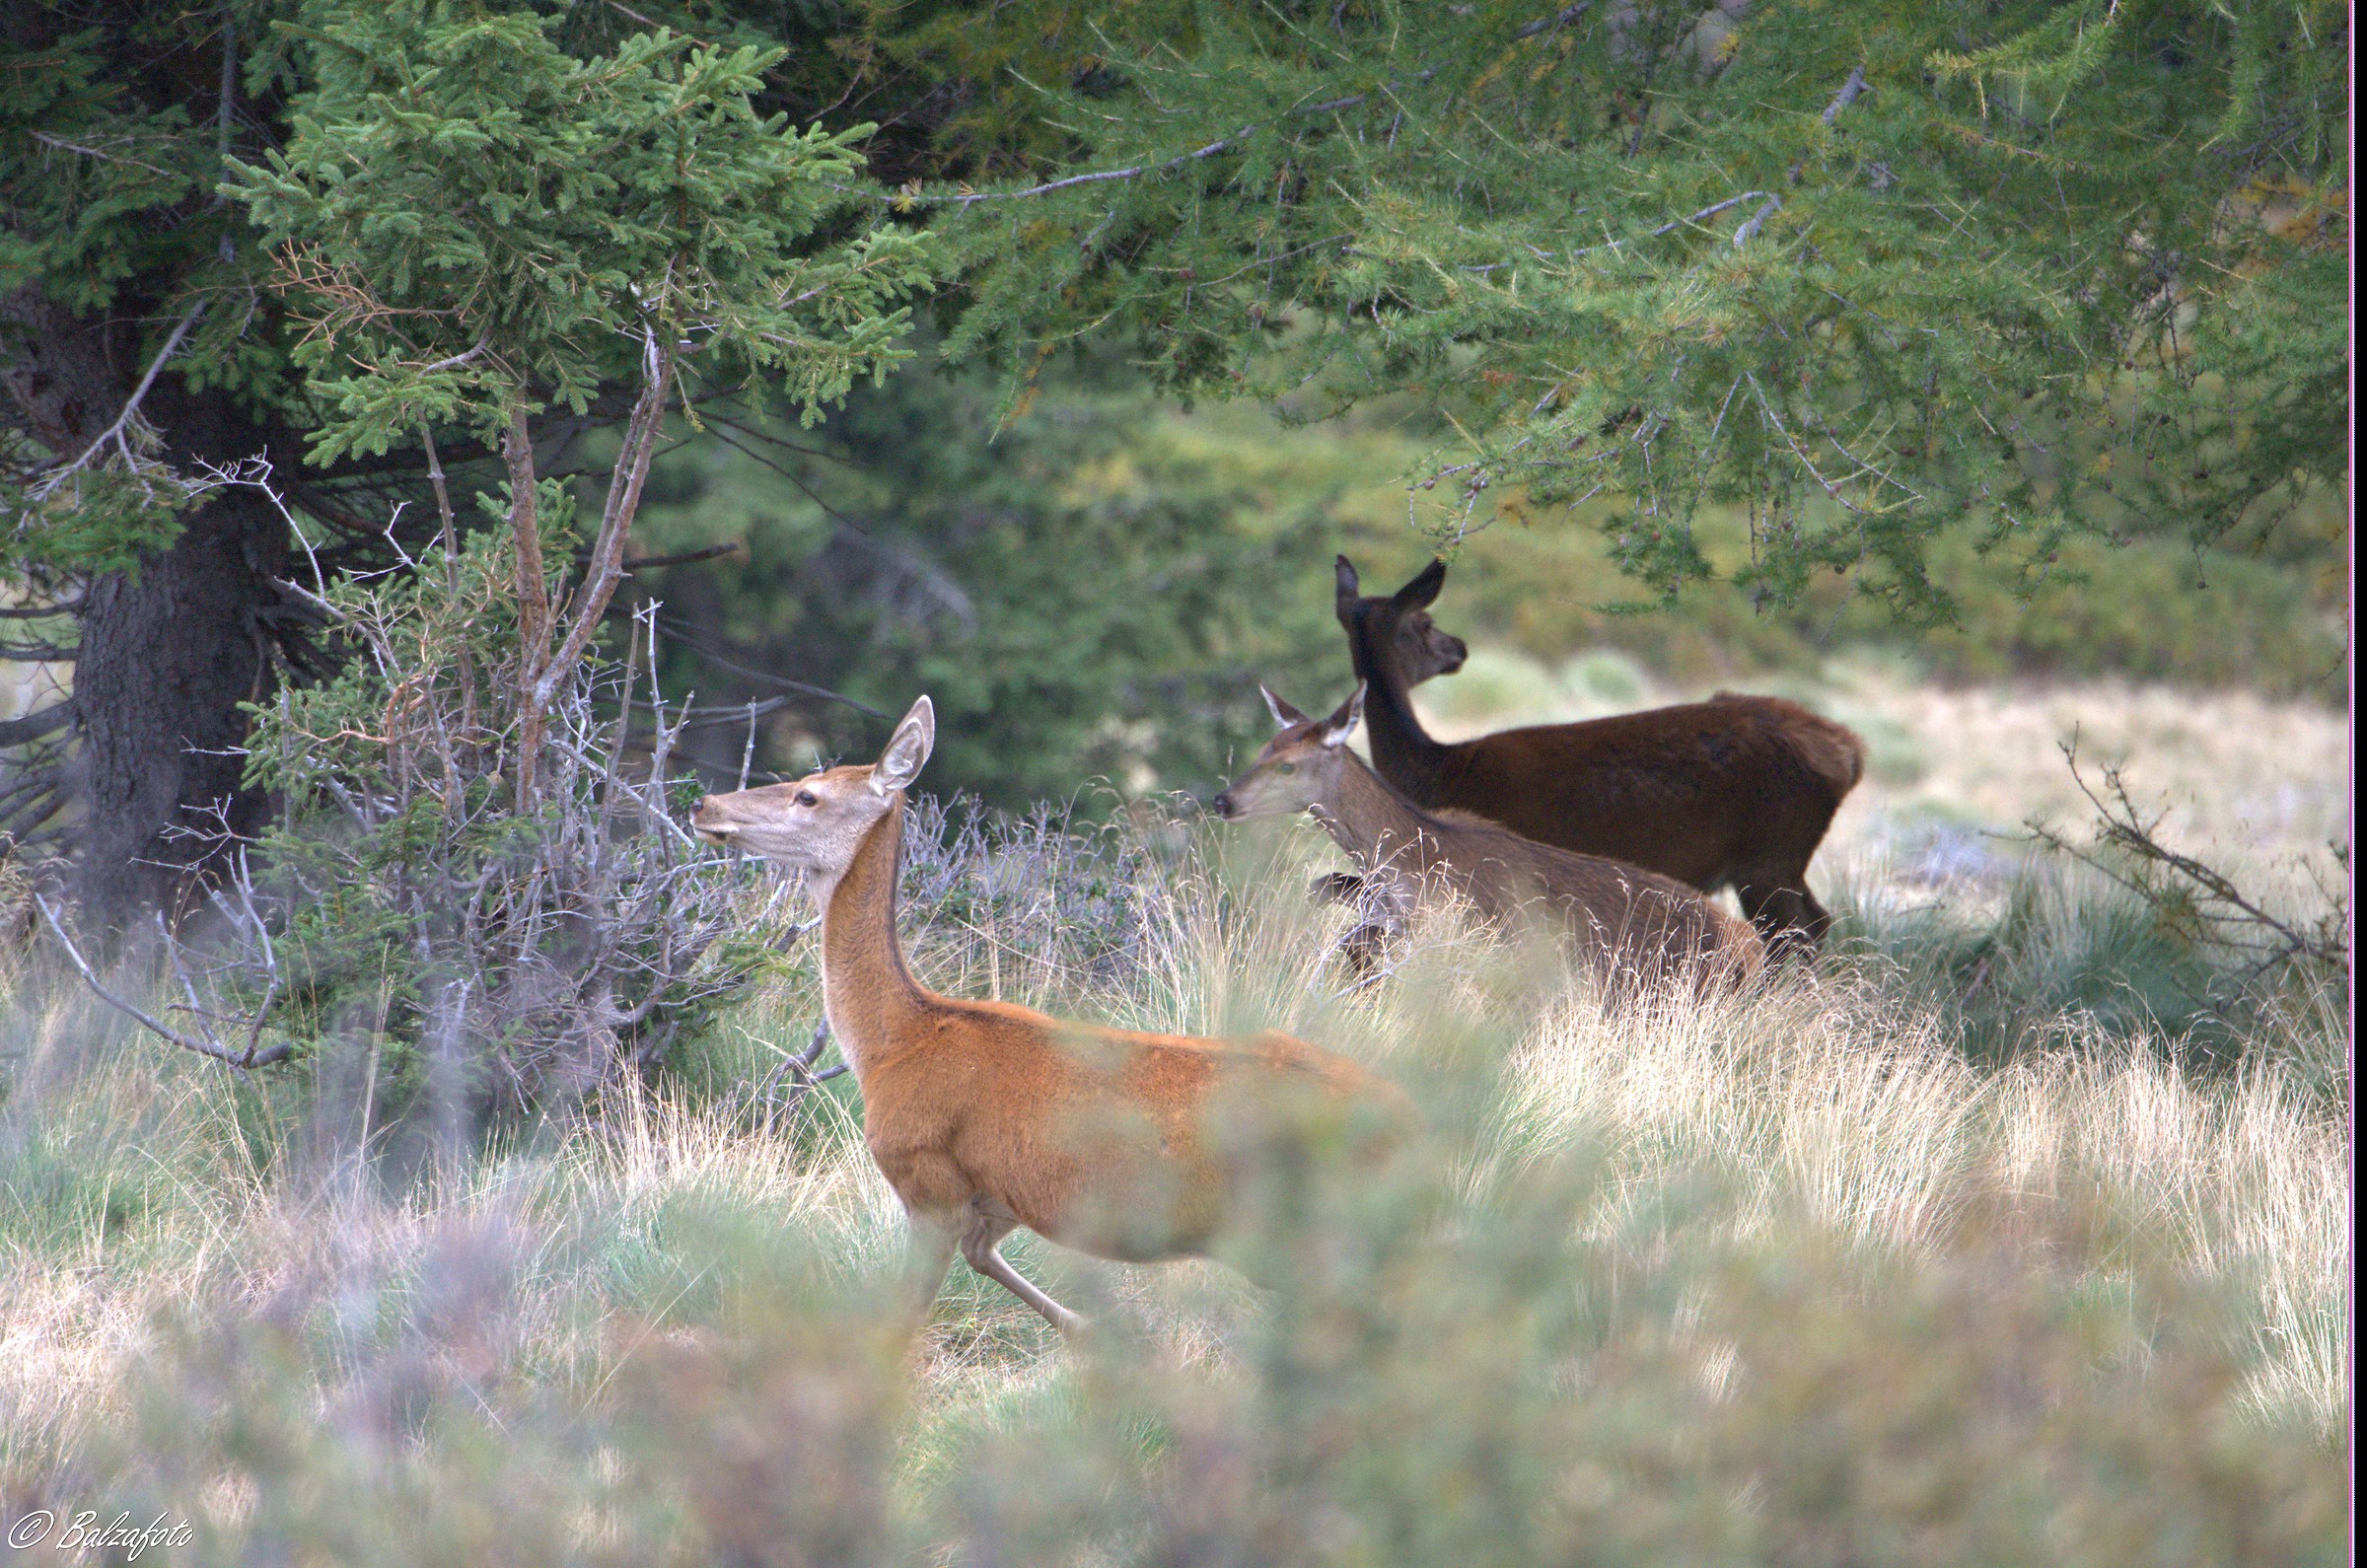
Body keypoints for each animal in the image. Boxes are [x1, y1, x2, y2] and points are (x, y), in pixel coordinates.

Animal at [690, 696, 1404, 1339]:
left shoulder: (927, 1177)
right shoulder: (997, 1198)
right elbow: (988, 1262)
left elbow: (903, 1317)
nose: (706, 806)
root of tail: (1408, 1123)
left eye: (808, 795)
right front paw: (1098, 1330)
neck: (892, 1042)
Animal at [1334, 556, 1865, 955]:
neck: (1439, 771)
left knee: (1796, 933)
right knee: (1816, 923)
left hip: (1771, 852)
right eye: (1425, 624)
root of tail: (1850, 753)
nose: (1459, 648)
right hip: (1781, 856)